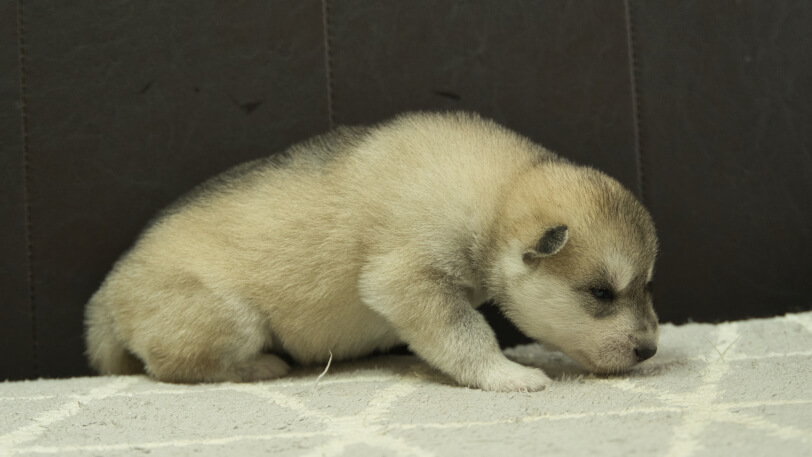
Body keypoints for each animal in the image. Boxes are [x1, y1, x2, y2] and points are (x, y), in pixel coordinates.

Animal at [87, 112, 660, 390]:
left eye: (646, 285)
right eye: (601, 293)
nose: (650, 350)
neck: (497, 195)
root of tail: (106, 294)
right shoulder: (407, 281)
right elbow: (468, 336)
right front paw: (507, 375)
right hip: (227, 317)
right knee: (177, 367)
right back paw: (258, 368)